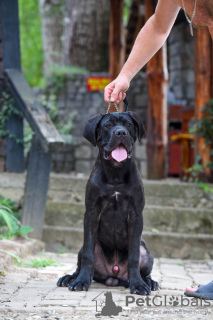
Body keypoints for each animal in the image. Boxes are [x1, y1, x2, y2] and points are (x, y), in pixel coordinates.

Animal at [57, 112, 158, 296]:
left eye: (128, 125)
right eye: (108, 125)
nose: (121, 133)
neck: (115, 173)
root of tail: (114, 276)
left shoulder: (136, 215)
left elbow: (134, 257)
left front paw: (138, 284)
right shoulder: (91, 213)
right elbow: (88, 255)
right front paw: (81, 282)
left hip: (146, 253)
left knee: (143, 266)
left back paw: (149, 281)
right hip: (84, 248)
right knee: (83, 259)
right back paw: (71, 278)